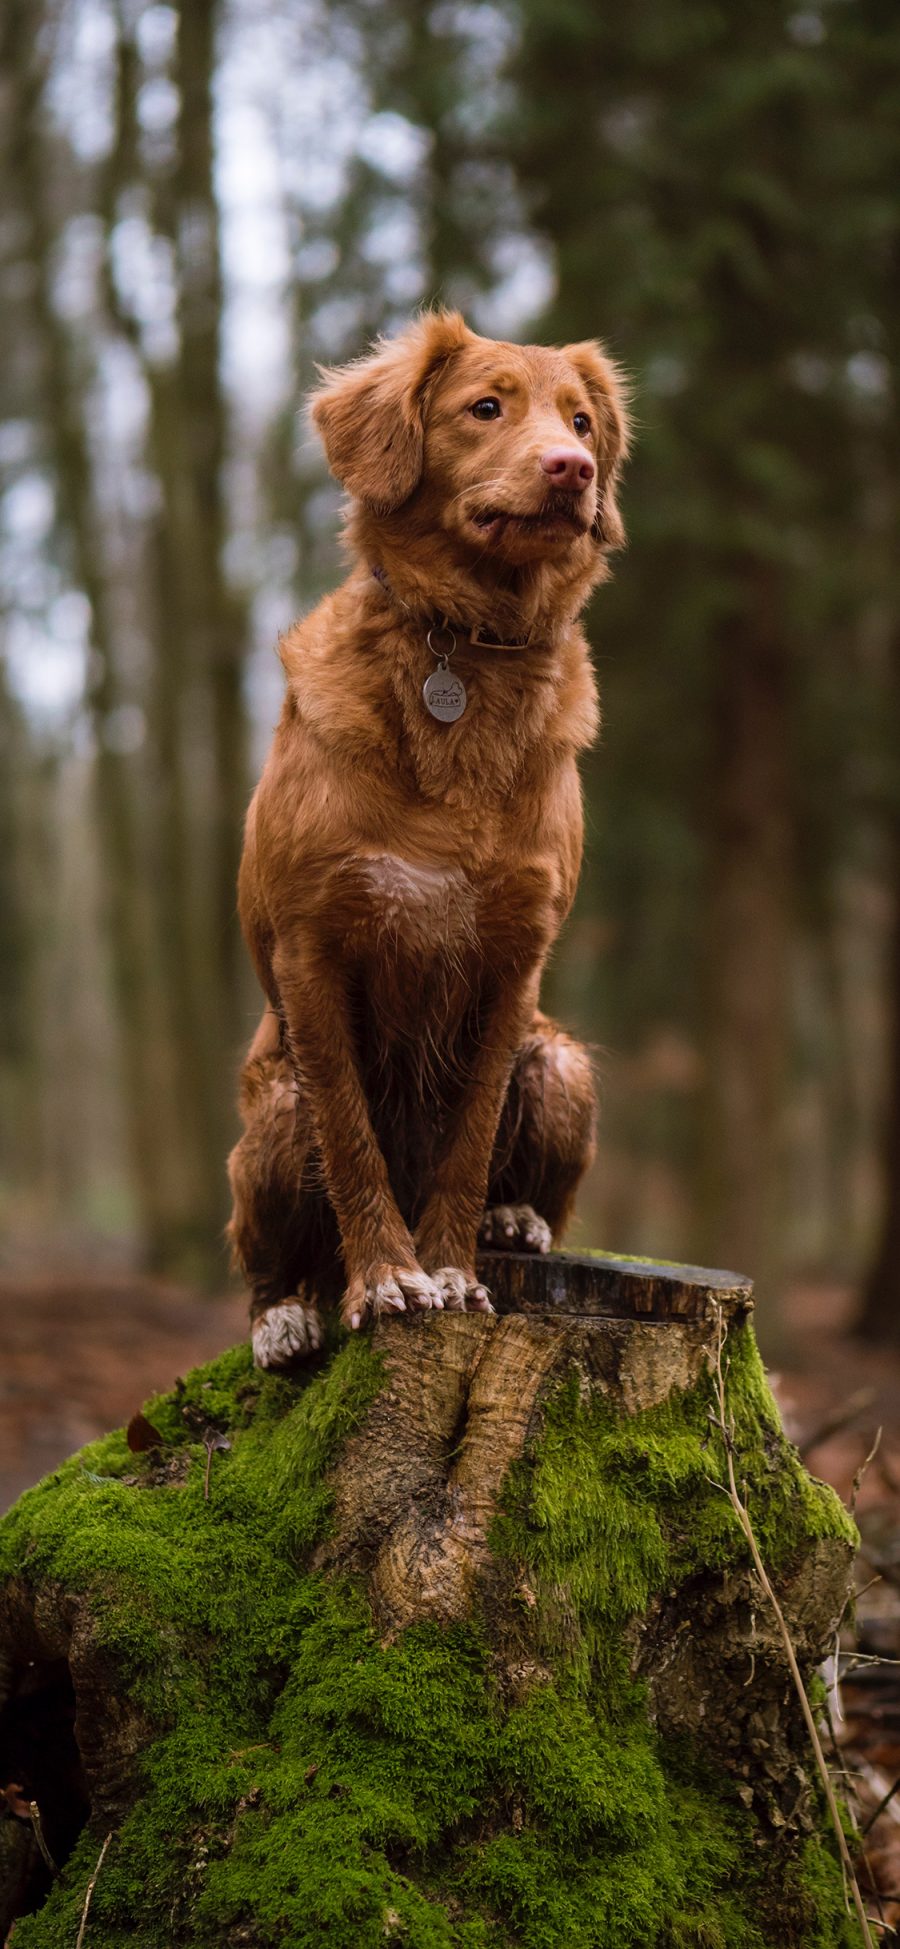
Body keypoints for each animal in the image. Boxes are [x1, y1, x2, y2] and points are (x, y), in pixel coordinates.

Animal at [228, 307, 631, 1372]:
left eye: (581, 419)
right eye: (485, 408)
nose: (573, 467)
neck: (469, 649)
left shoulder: (513, 960)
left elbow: (469, 1136)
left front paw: (450, 1268)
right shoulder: (314, 950)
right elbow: (352, 1139)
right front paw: (388, 1278)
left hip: (562, 1062)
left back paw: (514, 1222)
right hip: (271, 1115)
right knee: (264, 1253)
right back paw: (287, 1313)